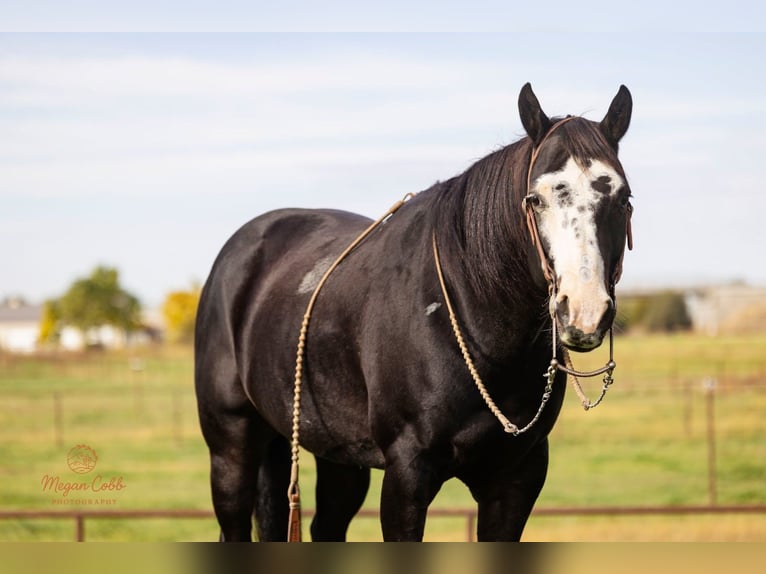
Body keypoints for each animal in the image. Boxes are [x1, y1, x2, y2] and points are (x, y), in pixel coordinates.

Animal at [194, 82, 633, 541]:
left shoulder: (517, 479)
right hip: (231, 448)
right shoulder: (406, 474)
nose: (584, 311)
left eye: (623, 199)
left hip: (333, 452)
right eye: (536, 199)